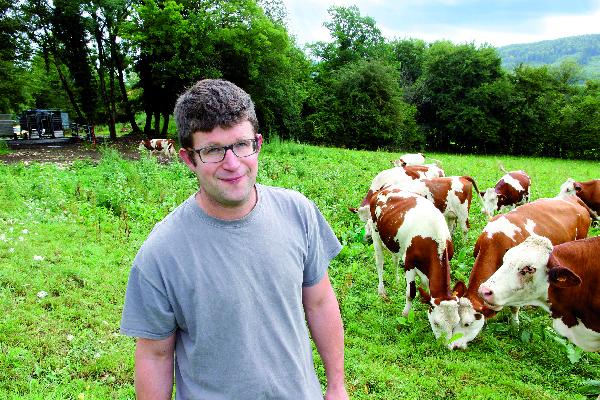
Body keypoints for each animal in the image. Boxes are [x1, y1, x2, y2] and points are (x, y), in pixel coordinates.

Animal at [356, 186, 460, 342]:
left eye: (456, 323)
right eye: (437, 323)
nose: (446, 345)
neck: (436, 240)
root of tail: (383, 190)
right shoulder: (409, 265)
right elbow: (411, 293)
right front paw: (405, 315)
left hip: (395, 242)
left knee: (394, 259)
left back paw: (397, 280)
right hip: (376, 234)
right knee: (380, 263)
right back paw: (381, 290)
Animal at [446, 197, 592, 350]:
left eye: (467, 324)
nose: (452, 345)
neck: (495, 240)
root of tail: (574, 199)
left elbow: (514, 307)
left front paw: (515, 326)